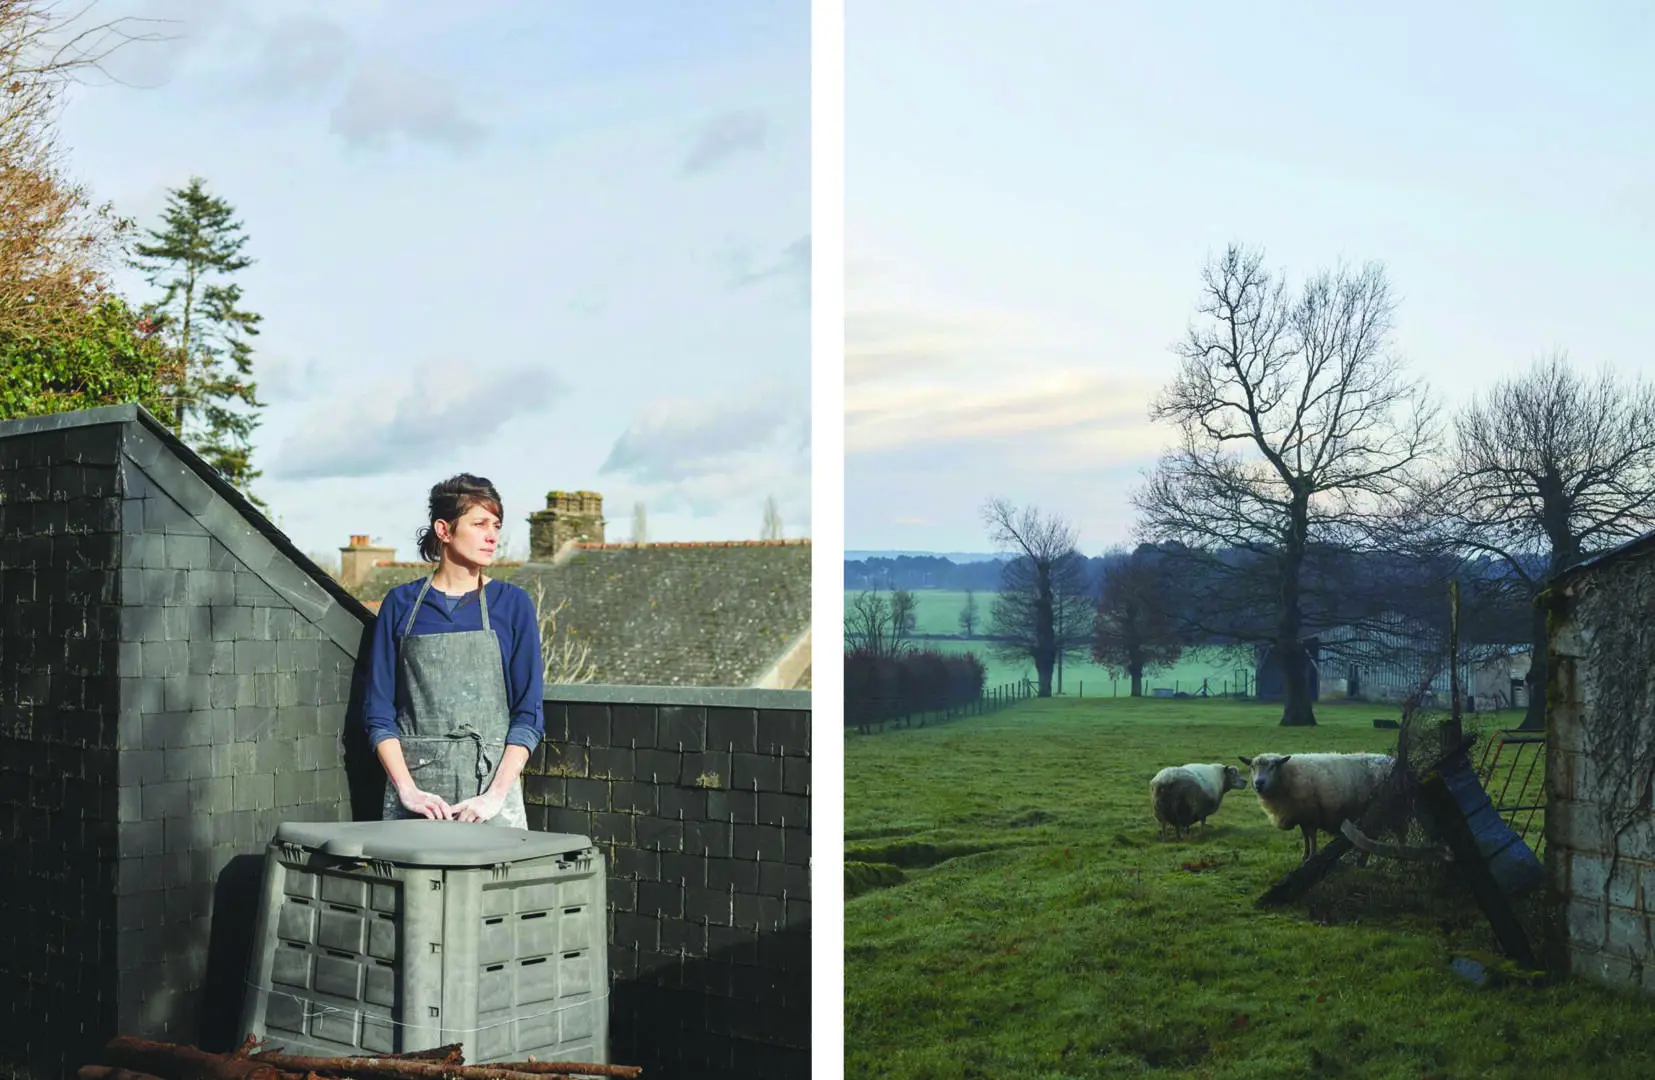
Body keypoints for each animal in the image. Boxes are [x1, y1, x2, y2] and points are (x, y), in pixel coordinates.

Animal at [1244, 750, 1396, 860]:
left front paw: (1311, 856)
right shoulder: (1301, 815)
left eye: (1272, 767)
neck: (1287, 775)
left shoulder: (1311, 813)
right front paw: (1304, 855)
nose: (1259, 783)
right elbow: (1305, 836)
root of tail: (1392, 759)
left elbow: (1311, 836)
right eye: (1252, 767)